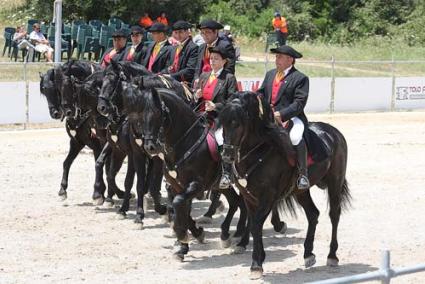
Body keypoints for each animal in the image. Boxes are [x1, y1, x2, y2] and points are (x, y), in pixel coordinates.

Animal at [219, 91, 352, 280]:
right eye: (222, 123)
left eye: (237, 123)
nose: (227, 156)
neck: (259, 151)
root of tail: (334, 132)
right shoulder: (248, 196)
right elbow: (253, 224)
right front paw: (258, 258)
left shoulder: (268, 197)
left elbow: (256, 224)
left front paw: (256, 265)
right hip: (301, 191)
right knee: (313, 214)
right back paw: (308, 254)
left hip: (335, 183)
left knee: (334, 214)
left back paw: (332, 256)